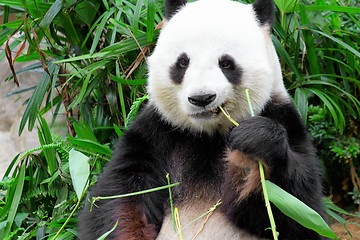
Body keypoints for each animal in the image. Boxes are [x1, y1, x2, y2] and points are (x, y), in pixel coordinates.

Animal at [80, 0, 328, 239]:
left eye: (226, 63)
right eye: (182, 62)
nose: (201, 98)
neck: (207, 134)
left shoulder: (282, 116)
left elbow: (300, 211)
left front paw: (253, 147)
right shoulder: (155, 132)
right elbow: (121, 198)